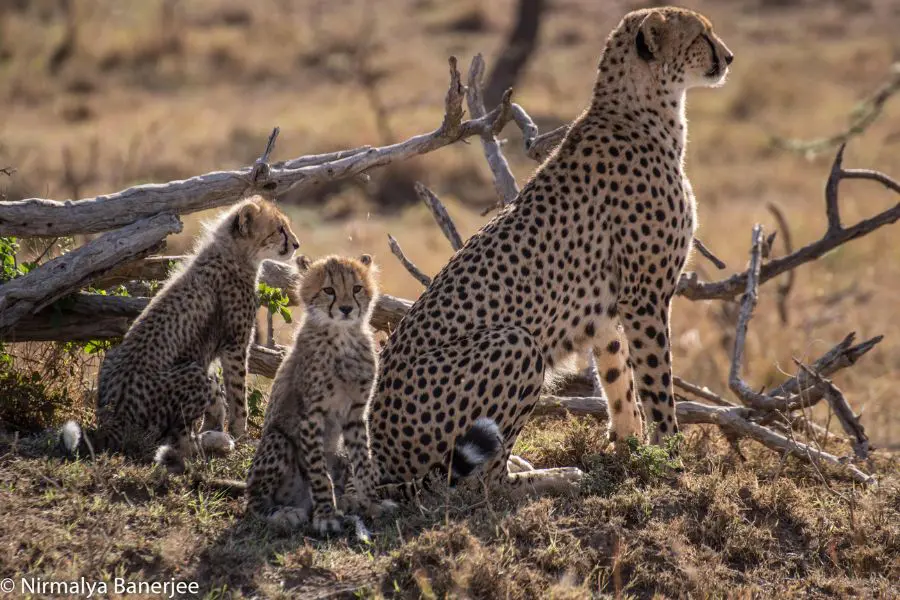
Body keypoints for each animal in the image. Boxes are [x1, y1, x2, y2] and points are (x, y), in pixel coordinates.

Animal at [366, 5, 732, 492]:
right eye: (700, 36)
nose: (728, 57)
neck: (643, 110)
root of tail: (378, 457)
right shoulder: (645, 296)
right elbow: (656, 383)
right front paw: (672, 461)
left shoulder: (611, 306)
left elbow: (619, 380)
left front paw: (632, 450)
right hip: (517, 343)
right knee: (481, 484)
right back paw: (553, 476)